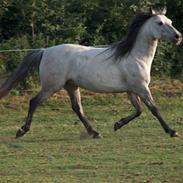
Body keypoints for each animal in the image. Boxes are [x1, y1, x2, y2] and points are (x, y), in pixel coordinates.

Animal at [0, 7, 182, 139]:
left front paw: (117, 124)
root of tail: (45, 51)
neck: (136, 56)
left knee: (77, 108)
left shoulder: (132, 90)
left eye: (170, 21)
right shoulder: (141, 88)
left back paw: (94, 133)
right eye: (159, 23)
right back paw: (22, 130)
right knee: (34, 102)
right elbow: (153, 109)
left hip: (71, 86)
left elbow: (138, 110)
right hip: (52, 86)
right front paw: (172, 131)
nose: (178, 37)